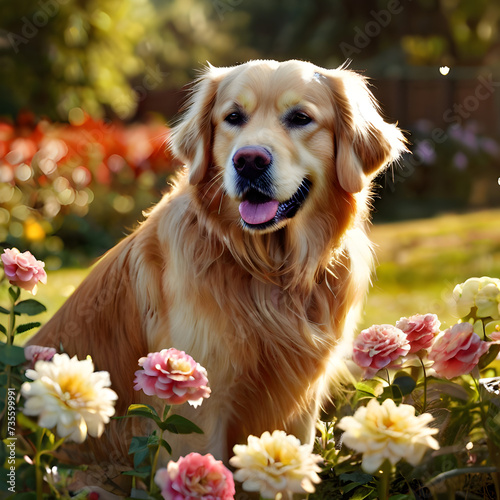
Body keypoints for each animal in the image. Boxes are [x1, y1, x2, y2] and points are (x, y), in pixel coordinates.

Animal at [29, 58, 406, 468]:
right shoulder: (194, 407)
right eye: (233, 117)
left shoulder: (302, 403)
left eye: (301, 118)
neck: (270, 269)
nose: (249, 161)